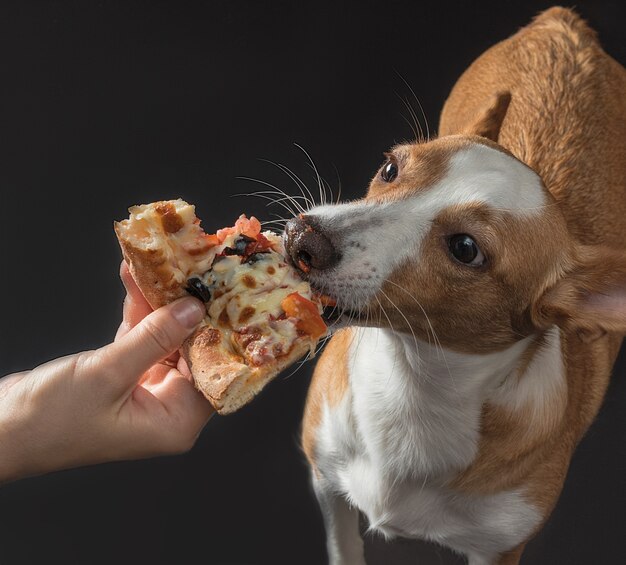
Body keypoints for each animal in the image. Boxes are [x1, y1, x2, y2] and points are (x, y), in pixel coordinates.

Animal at [282, 5, 624, 564]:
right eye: (390, 168)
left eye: (465, 248)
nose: (301, 238)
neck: (413, 384)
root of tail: (566, 28)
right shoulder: (328, 488)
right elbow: (344, 546)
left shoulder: (499, 548)